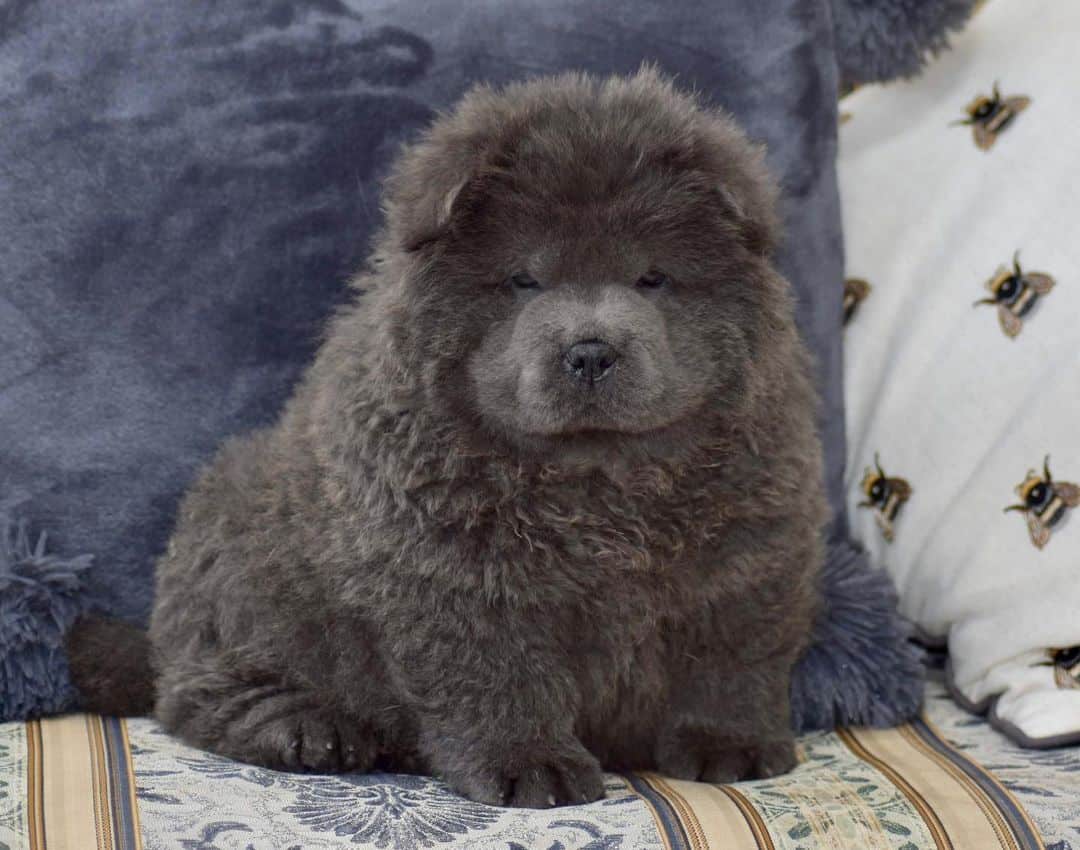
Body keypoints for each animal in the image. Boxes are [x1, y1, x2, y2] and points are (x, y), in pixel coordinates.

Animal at [69, 69, 825, 807]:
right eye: (524, 279)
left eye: (653, 278)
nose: (589, 351)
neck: (596, 485)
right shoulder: (457, 577)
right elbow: (498, 679)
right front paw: (533, 768)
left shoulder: (746, 560)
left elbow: (732, 662)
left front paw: (730, 748)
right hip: (245, 571)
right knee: (198, 694)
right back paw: (313, 730)